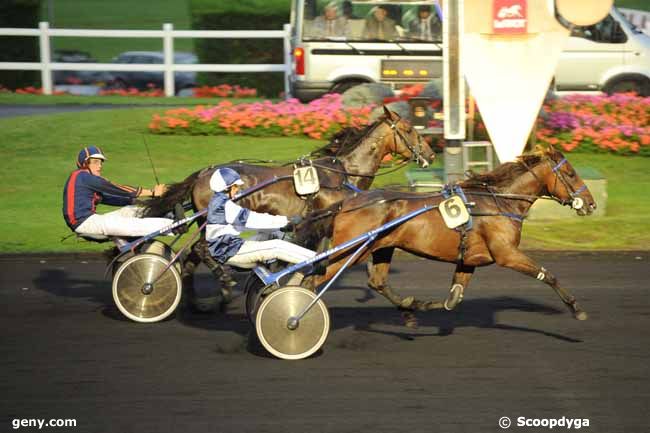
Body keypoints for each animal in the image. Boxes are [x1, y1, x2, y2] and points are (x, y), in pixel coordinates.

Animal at [144, 106, 432, 298]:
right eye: (409, 130)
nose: (429, 154)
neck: (343, 172)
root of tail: (204, 172)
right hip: (213, 222)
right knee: (202, 249)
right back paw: (222, 283)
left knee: (192, 256)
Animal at [302, 147, 596, 326]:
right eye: (570, 173)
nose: (591, 204)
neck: (499, 202)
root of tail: (347, 202)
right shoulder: (507, 254)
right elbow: (548, 274)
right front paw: (577, 308)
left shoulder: (469, 260)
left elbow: (452, 300)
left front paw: (419, 305)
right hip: (349, 252)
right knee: (312, 280)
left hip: (382, 246)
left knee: (376, 281)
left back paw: (407, 307)